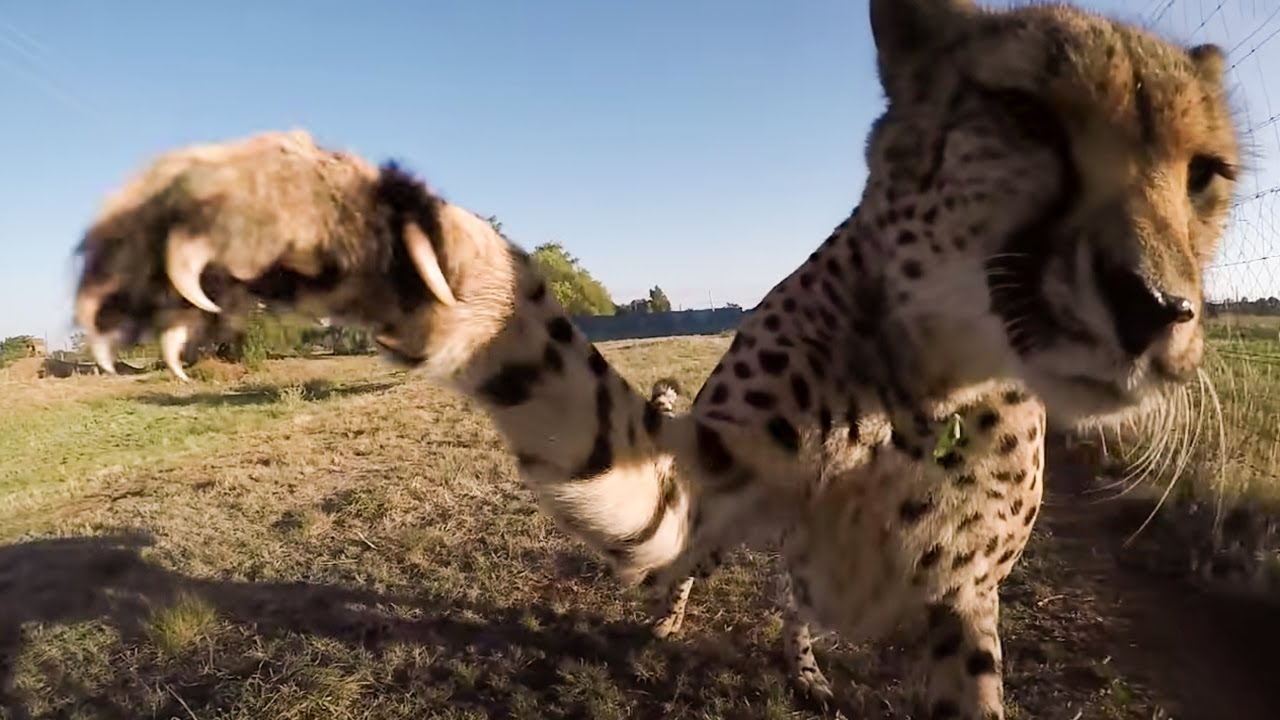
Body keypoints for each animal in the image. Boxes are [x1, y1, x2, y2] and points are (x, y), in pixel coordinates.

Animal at [69, 0, 1240, 716]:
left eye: (1206, 175)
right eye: (1024, 114)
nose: (1159, 307)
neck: (938, 386)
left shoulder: (964, 604)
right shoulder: (687, 482)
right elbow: (556, 373)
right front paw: (347, 224)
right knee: (717, 580)